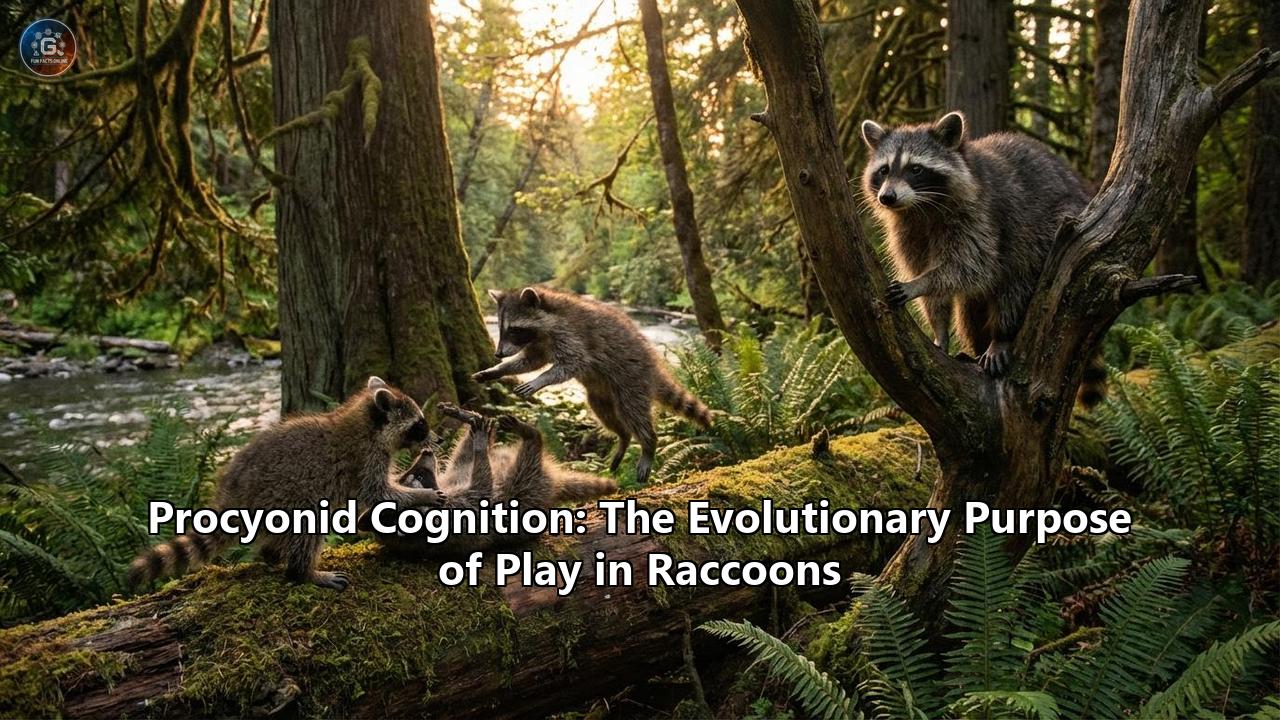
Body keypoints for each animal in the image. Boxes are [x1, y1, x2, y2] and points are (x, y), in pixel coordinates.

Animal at [127, 377, 446, 591]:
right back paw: (303, 572)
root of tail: (234, 494)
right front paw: (421, 496)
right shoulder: (365, 458)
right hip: (283, 495)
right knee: (309, 524)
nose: (439, 438)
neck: (365, 421)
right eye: (420, 425)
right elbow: (378, 493)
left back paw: (273, 557)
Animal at [357, 403, 616, 555]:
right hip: (529, 484)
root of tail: (552, 480)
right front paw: (481, 447)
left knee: (463, 454)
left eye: (408, 475)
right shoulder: (458, 515)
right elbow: (482, 489)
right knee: (528, 455)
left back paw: (470, 418)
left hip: (469, 468)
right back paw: (528, 435)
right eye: (419, 475)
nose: (426, 452)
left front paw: (472, 427)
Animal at [473, 287, 712, 483]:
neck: (547, 322)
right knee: (607, 416)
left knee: (635, 415)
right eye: (501, 329)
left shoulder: (570, 335)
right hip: (600, 395)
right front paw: (498, 370)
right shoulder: (538, 343)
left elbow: (573, 363)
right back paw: (623, 439)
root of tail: (653, 365)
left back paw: (649, 445)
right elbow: (529, 362)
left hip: (632, 381)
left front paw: (540, 380)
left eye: (514, 330)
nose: (498, 354)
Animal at [860, 111, 1106, 406]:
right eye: (884, 170)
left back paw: (1003, 335)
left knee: (1017, 280)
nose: (887, 197)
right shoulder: (908, 231)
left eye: (915, 169)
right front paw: (939, 328)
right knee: (970, 313)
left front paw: (922, 282)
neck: (922, 207)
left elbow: (972, 266)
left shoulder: (980, 215)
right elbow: (931, 283)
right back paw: (976, 349)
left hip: (1052, 230)